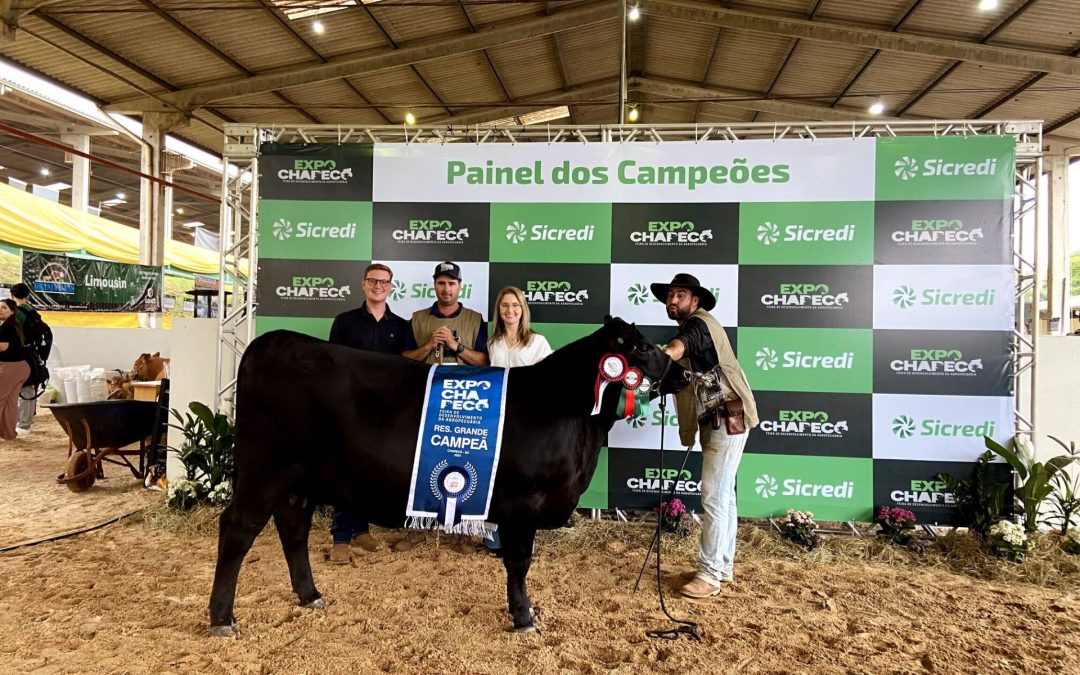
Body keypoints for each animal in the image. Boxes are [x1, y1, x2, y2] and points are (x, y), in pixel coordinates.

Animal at [206, 315, 686, 630]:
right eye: (643, 347)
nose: (681, 373)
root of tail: (270, 341)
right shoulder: (523, 502)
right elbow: (519, 562)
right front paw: (523, 617)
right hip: (263, 469)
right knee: (238, 529)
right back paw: (222, 617)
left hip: (299, 480)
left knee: (293, 528)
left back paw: (310, 596)